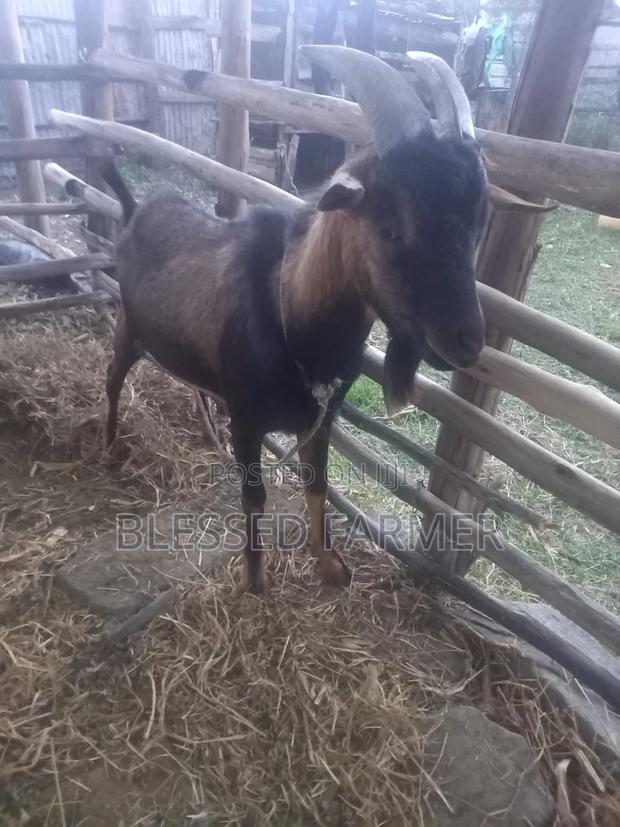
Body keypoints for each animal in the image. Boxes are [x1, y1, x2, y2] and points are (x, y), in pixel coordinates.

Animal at [100, 47, 542, 596]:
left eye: (481, 223)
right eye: (390, 228)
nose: (466, 341)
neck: (291, 317)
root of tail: (135, 210)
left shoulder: (323, 417)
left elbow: (320, 484)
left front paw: (329, 566)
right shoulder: (247, 421)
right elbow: (255, 496)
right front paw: (256, 579)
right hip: (128, 325)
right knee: (113, 378)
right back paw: (109, 446)